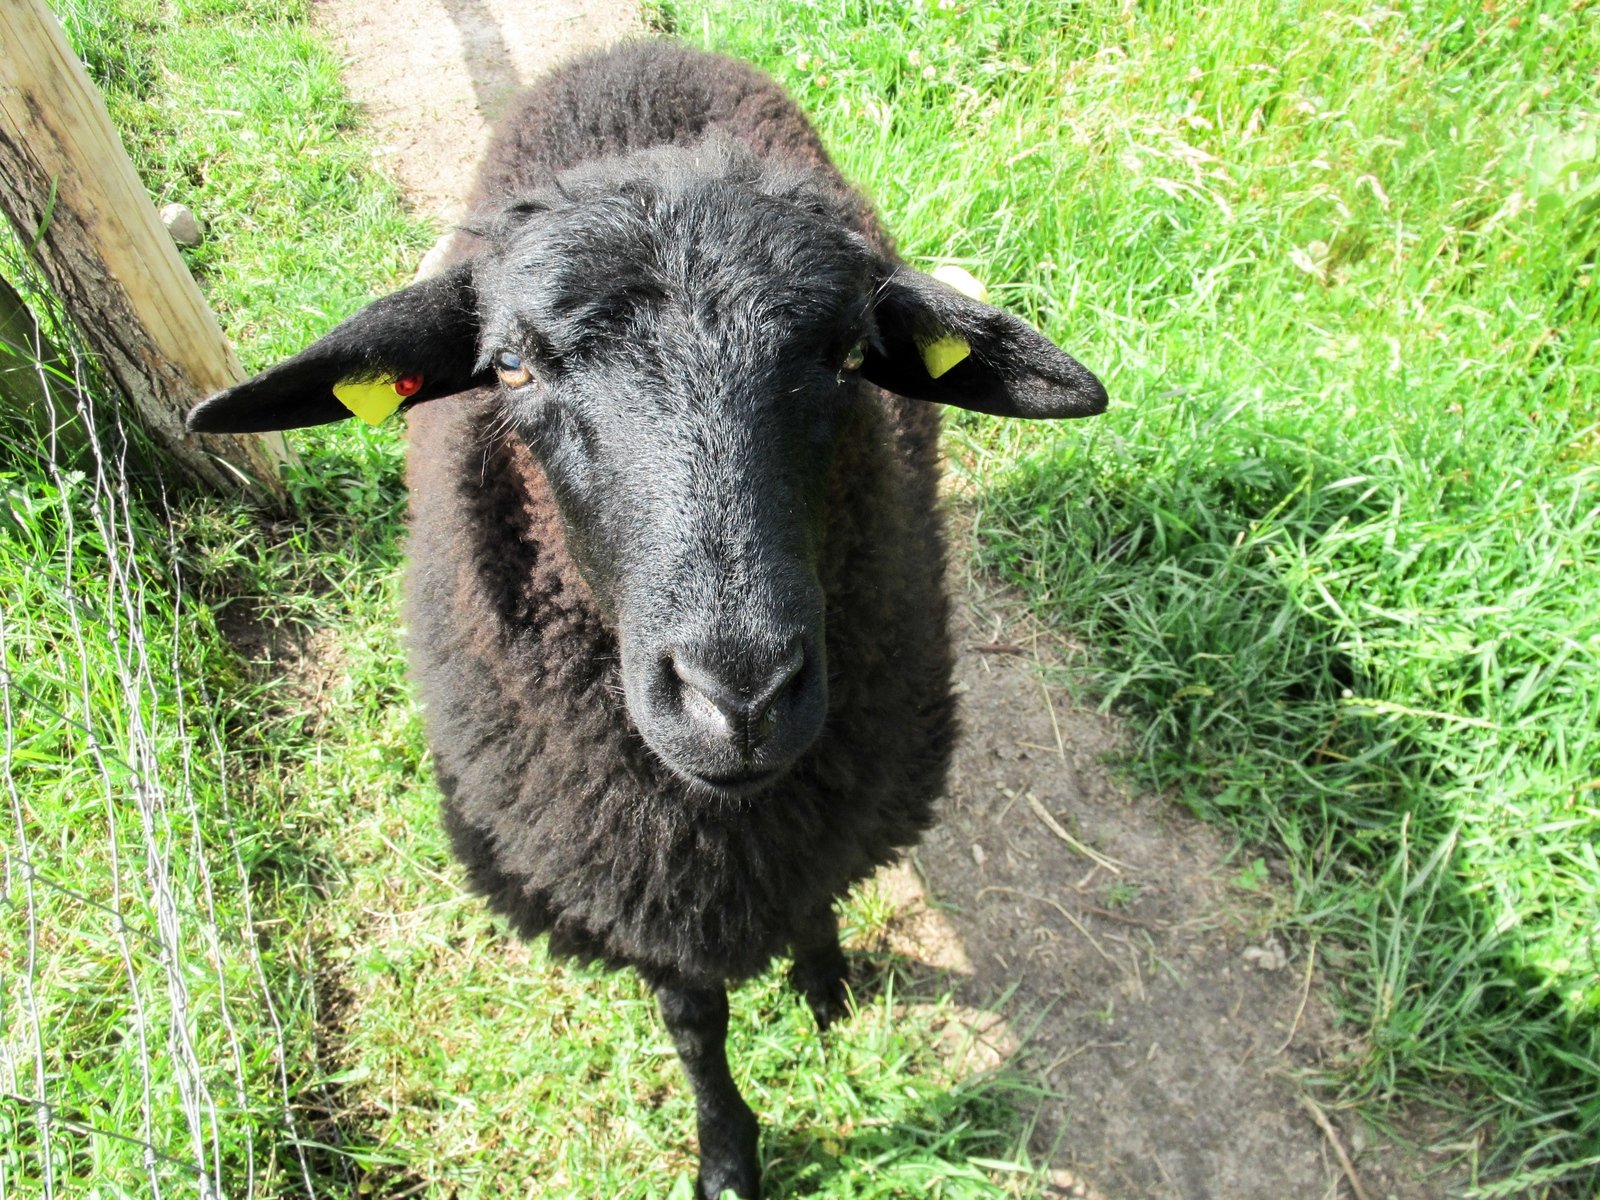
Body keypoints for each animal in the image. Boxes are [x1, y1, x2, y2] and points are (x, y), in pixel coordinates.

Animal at [187, 40, 1100, 1200]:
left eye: (852, 355)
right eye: (512, 365)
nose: (739, 697)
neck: (716, 816)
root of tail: (633, 54)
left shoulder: (838, 801)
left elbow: (817, 892)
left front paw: (824, 985)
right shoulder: (629, 889)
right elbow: (692, 1019)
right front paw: (728, 1153)